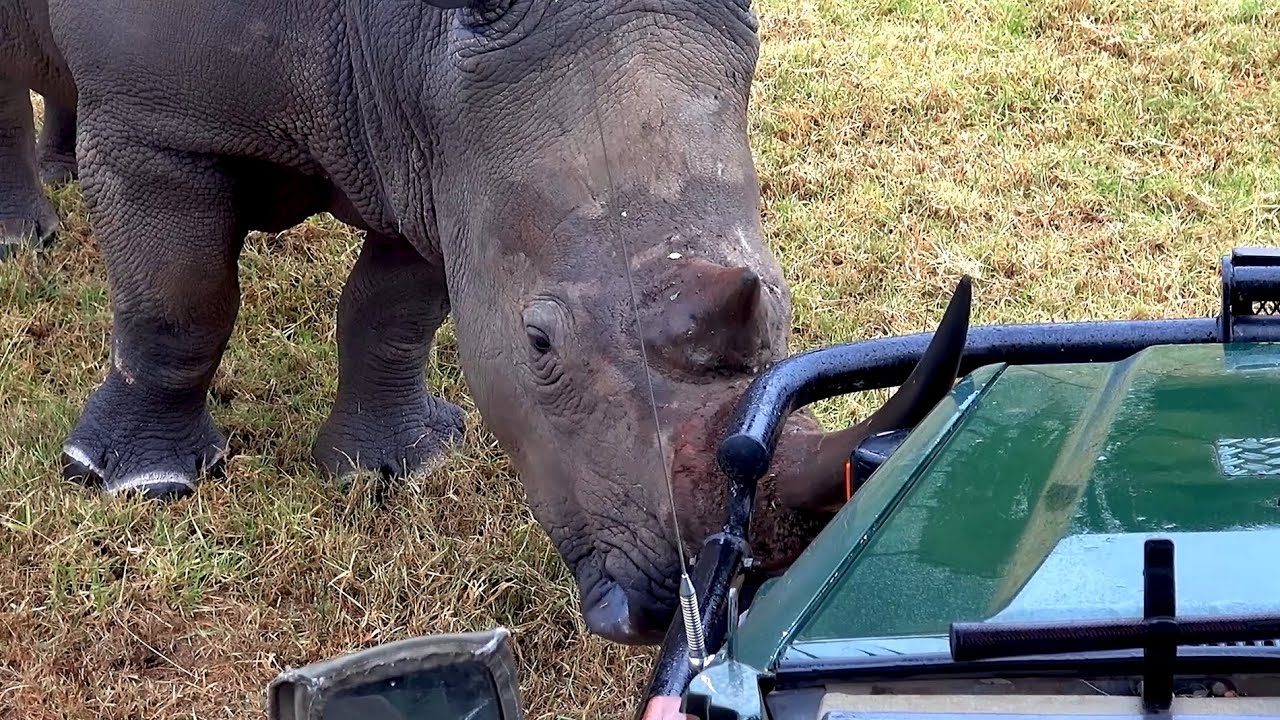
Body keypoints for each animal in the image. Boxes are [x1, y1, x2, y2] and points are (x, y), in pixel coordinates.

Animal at [0, 0, 942, 640]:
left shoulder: (436, 152)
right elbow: (179, 298)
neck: (412, 39)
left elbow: (392, 310)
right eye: (539, 343)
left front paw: (393, 469)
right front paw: (139, 483)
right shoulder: (161, 125)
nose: (723, 589)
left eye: (779, 305)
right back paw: (25, 239)